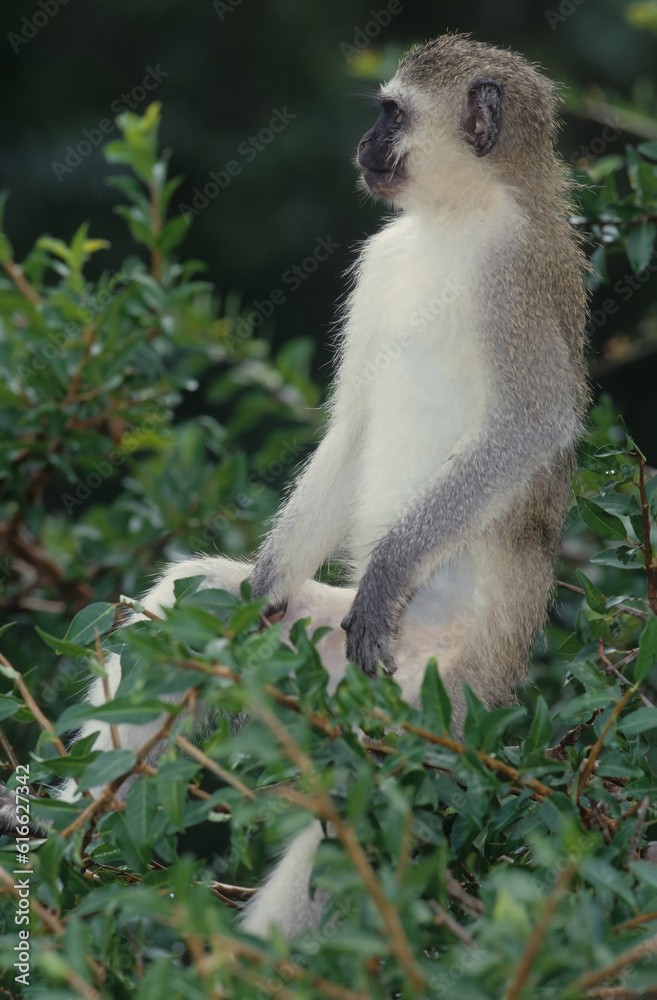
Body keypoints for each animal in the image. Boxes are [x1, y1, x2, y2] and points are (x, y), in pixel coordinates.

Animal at [6, 33, 587, 942]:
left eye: (390, 115)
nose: (362, 147)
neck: (453, 217)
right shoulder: (381, 260)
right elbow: (348, 427)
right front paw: (263, 583)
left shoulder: (515, 272)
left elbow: (530, 425)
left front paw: (388, 572)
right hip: (321, 659)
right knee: (191, 609)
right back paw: (64, 829)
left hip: (442, 708)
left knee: (369, 802)